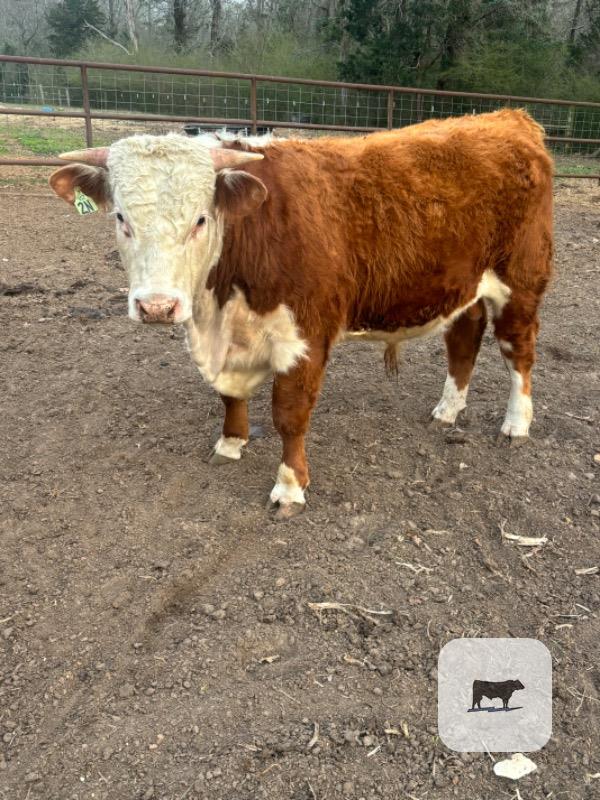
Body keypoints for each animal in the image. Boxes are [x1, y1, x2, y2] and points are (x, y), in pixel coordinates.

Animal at [48, 109, 553, 519]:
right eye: (121, 218)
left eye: (200, 220)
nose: (156, 306)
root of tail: (507, 118)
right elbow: (229, 396)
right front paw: (230, 443)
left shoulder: (305, 335)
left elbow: (289, 414)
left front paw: (289, 488)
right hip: (465, 285)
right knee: (464, 341)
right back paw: (448, 411)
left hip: (521, 281)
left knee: (518, 351)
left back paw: (516, 424)